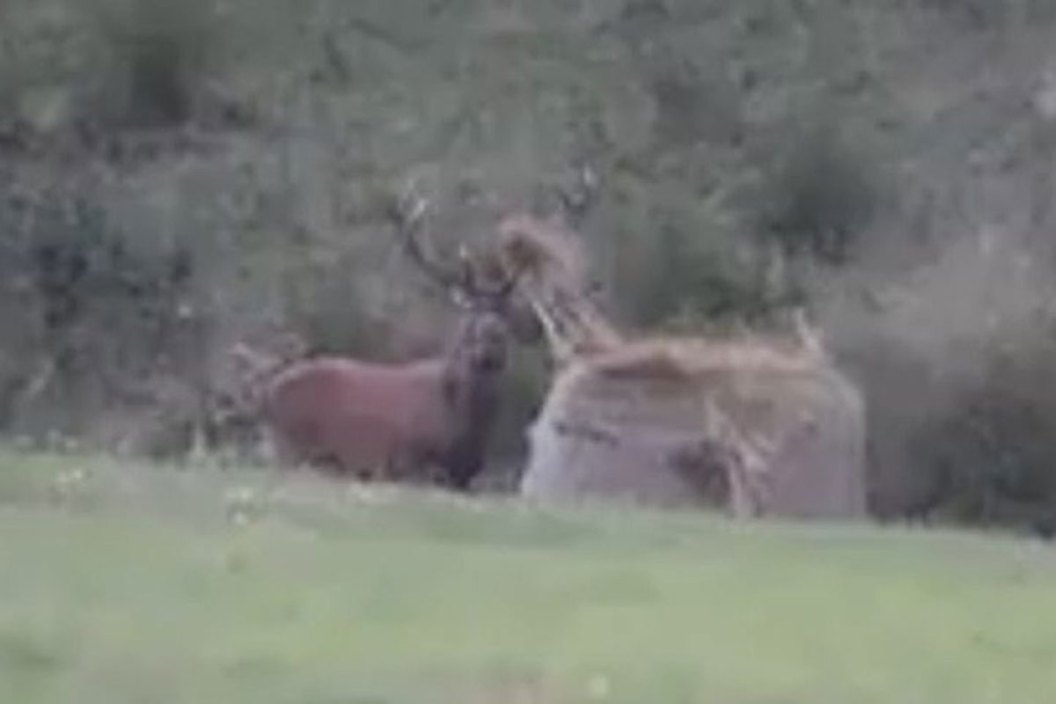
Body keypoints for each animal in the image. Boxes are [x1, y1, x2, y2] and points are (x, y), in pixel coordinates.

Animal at [230, 188, 538, 490]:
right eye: (470, 310)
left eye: (506, 311)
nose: (493, 336)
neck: (466, 430)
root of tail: (266, 396)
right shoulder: (406, 461)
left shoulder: (468, 475)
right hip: (290, 447)